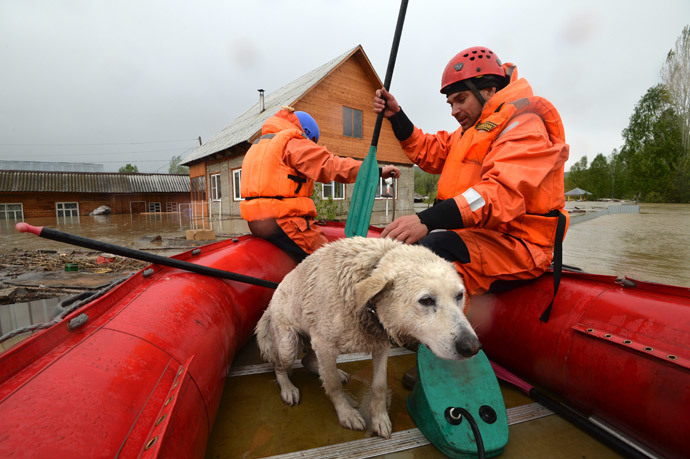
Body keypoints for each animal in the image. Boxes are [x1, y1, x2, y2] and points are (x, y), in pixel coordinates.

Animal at [254, 235, 478, 440]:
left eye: (459, 296)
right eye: (426, 300)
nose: (473, 347)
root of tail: (270, 305)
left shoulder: (380, 345)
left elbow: (379, 386)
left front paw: (379, 419)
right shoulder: (325, 345)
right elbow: (333, 385)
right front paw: (347, 414)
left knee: (309, 360)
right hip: (288, 345)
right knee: (280, 366)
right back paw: (288, 388)